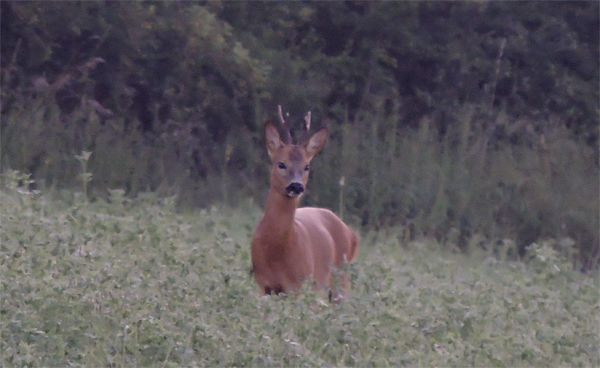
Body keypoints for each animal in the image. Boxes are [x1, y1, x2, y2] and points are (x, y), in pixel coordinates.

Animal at [251, 105, 358, 300]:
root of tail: (352, 233)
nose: (296, 186)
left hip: (338, 279)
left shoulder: (299, 283)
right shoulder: (263, 285)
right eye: (281, 164)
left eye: (306, 166)